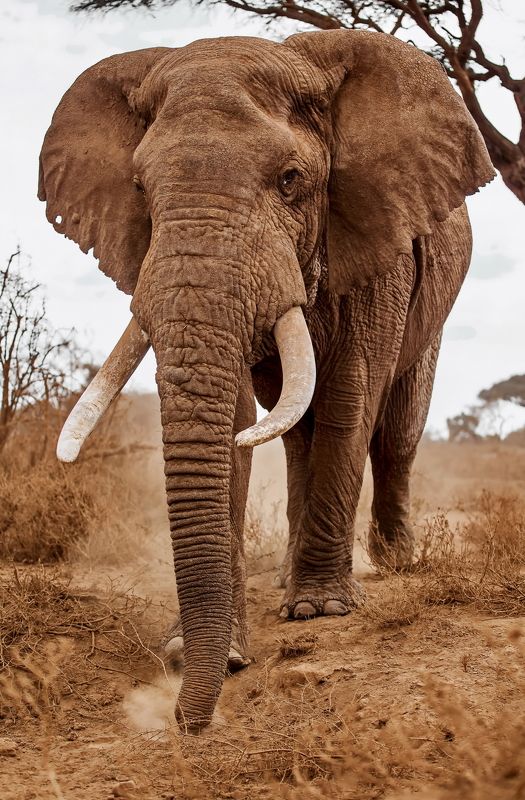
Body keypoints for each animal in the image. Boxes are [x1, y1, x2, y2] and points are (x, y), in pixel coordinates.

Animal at [38, 30, 494, 732]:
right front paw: (213, 649)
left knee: (397, 428)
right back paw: (287, 579)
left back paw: (391, 563)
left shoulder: (374, 234)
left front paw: (321, 613)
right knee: (297, 431)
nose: (187, 723)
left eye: (291, 181)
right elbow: (235, 418)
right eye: (139, 187)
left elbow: (349, 394)